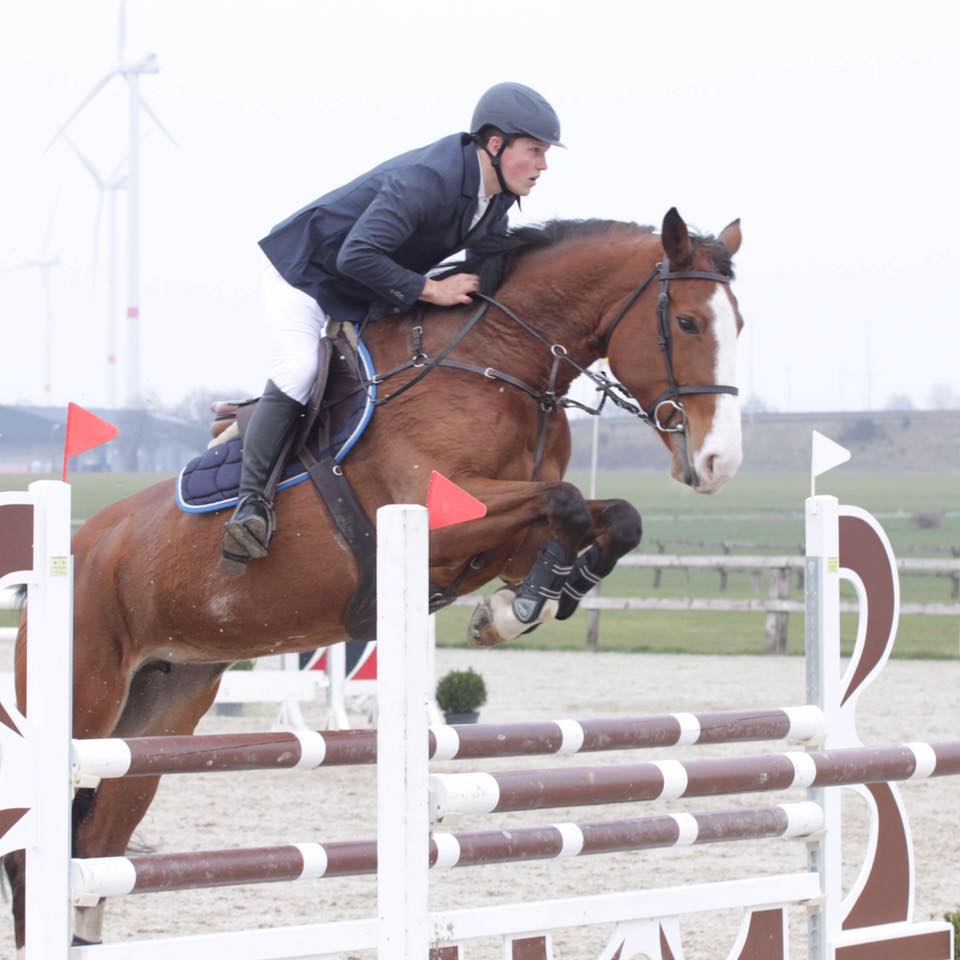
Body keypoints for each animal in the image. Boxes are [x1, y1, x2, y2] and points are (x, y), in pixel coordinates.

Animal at [6, 207, 744, 949]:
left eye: (737, 323)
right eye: (686, 323)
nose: (719, 465)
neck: (499, 366)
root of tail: (74, 552)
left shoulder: (507, 539)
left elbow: (613, 518)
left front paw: (533, 600)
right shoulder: (442, 520)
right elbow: (564, 501)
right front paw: (518, 609)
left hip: (159, 714)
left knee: (97, 846)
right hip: (84, 701)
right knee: (29, 848)